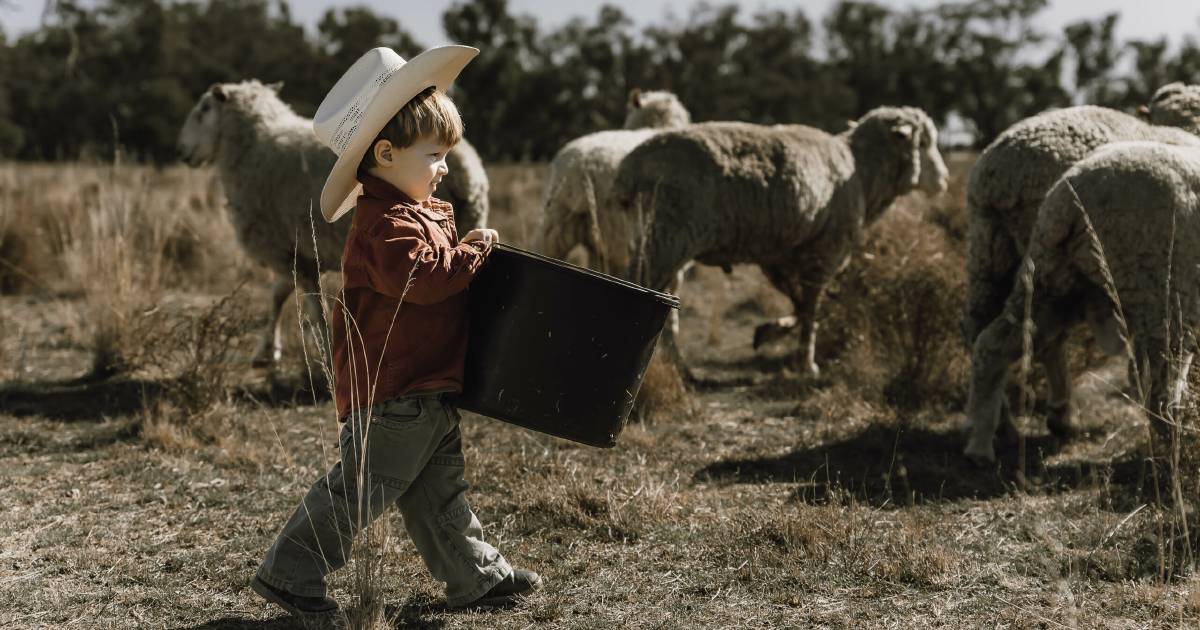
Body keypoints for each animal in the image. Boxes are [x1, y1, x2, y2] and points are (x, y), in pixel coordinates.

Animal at [172, 79, 487, 364]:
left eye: (203, 109)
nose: (181, 151)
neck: (250, 147)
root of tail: (467, 175)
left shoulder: (282, 244)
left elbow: (304, 302)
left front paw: (309, 351)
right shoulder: (298, 249)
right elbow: (283, 293)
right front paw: (274, 350)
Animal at [619, 106, 945, 379]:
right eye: (923, 143)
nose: (944, 179)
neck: (863, 173)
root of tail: (637, 160)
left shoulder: (780, 257)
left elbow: (799, 304)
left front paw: (769, 332)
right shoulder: (826, 251)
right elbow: (811, 307)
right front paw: (807, 364)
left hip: (650, 232)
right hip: (670, 235)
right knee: (645, 288)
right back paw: (671, 368)